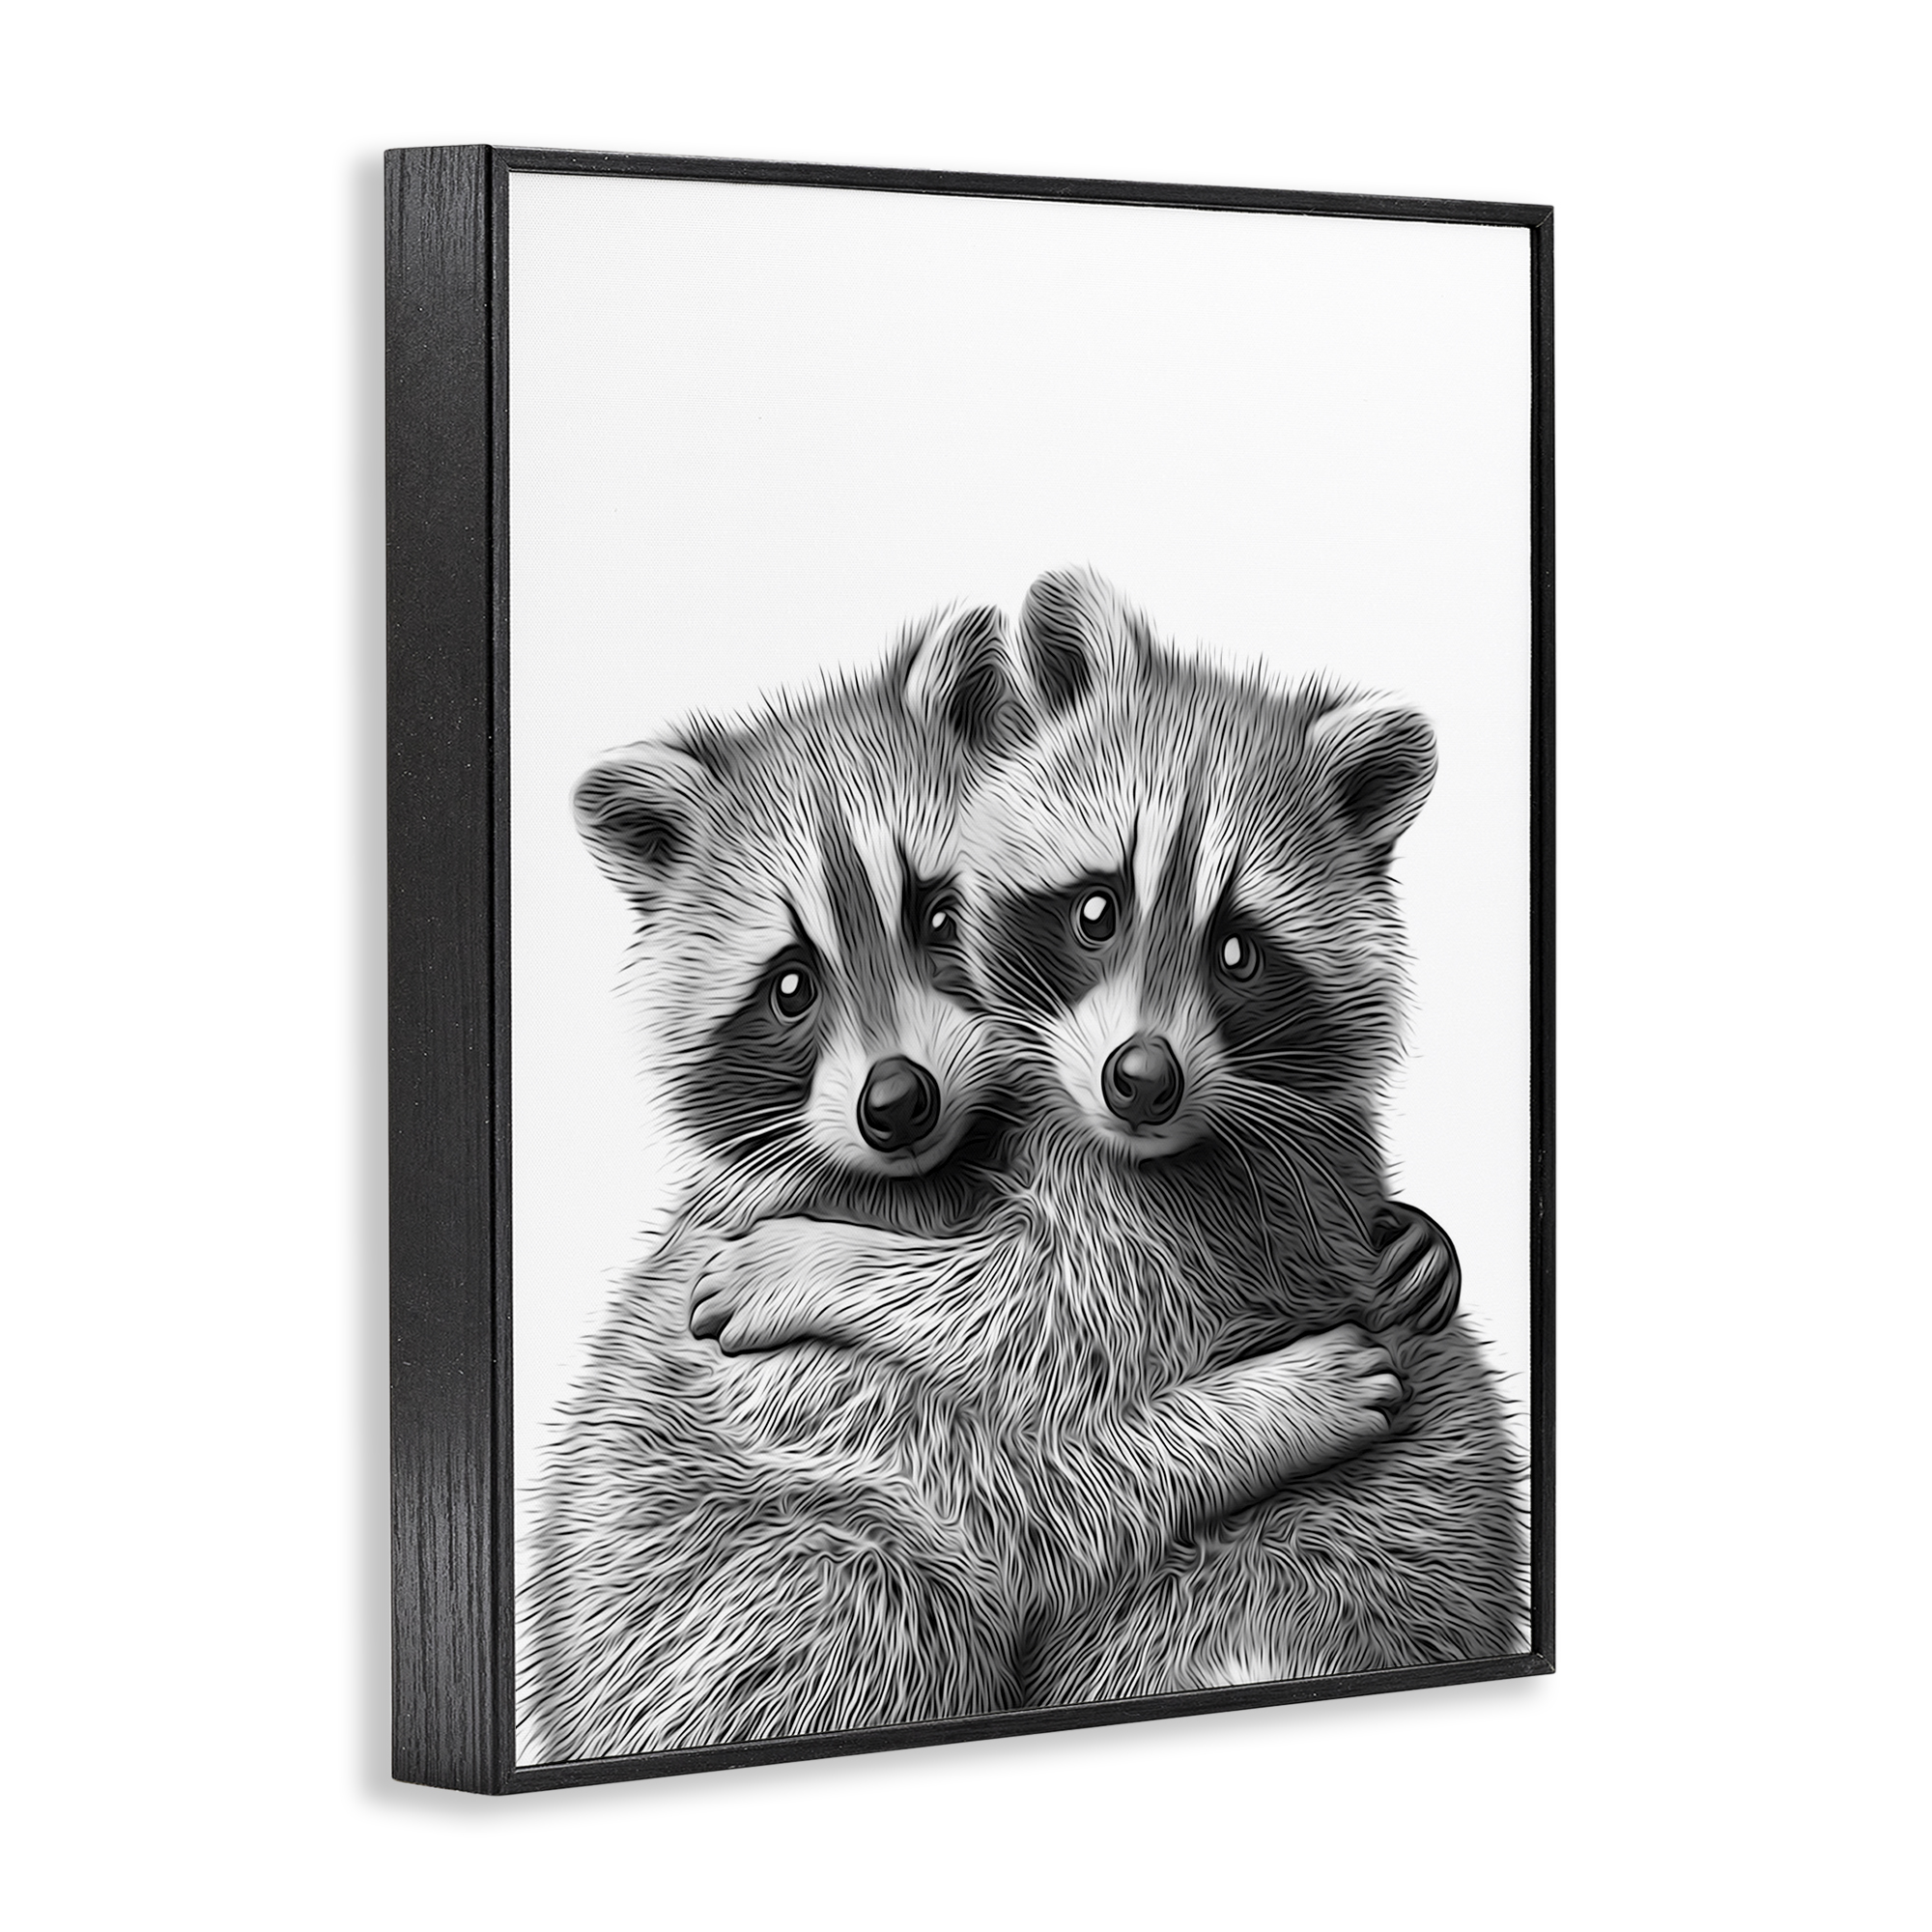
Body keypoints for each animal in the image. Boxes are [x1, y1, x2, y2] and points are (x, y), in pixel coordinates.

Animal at [518, 604, 1411, 1764]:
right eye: (790, 986)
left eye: (938, 920)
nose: (897, 1101)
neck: (940, 1168)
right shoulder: (773, 1383)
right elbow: (1018, 1506)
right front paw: (1267, 1409)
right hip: (777, 1609)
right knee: (875, 1588)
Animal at [692, 569, 1524, 1698]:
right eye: (1097, 909)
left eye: (1236, 951)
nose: (1141, 1081)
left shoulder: (1201, 1221)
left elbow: (1028, 1316)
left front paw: (811, 1260)